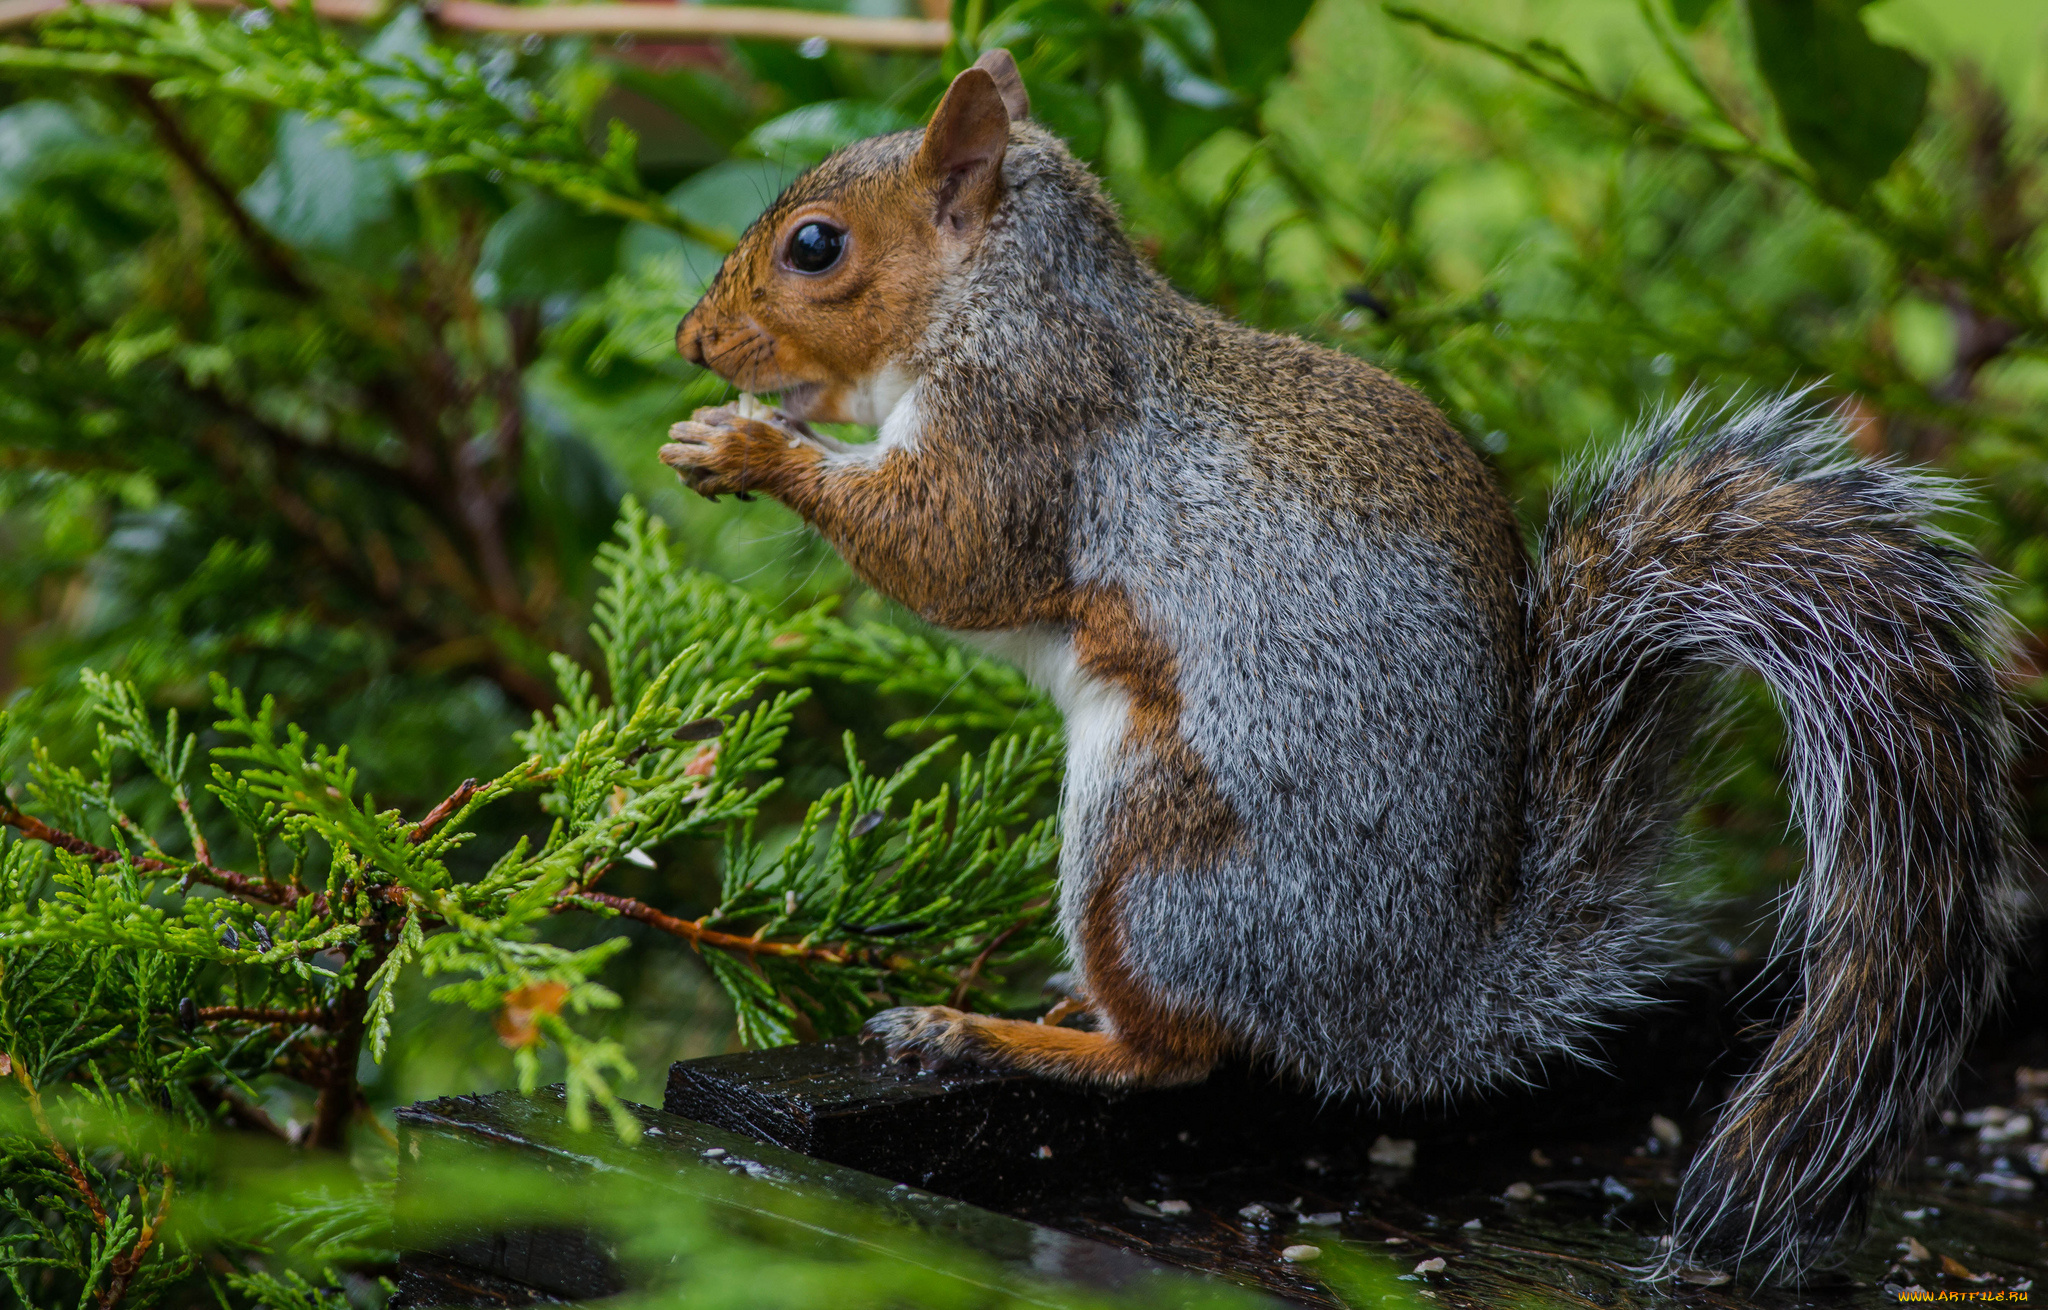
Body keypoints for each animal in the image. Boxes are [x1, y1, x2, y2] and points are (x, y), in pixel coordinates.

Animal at [663, 48, 2023, 1277]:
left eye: (815, 247)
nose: (690, 340)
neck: (1006, 298)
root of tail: (1413, 1006)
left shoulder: (1025, 431)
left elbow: (948, 552)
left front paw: (747, 446)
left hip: (1150, 836)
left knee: (1174, 1054)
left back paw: (982, 1030)